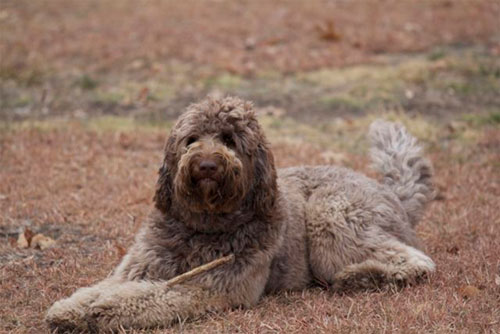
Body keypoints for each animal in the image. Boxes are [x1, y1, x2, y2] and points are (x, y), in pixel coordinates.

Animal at [47, 96, 438, 332]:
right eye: (191, 139)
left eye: (230, 140)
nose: (206, 165)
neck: (203, 226)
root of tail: (393, 194)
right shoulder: (139, 266)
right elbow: (101, 287)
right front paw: (71, 308)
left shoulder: (211, 287)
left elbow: (150, 296)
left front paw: (106, 309)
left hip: (331, 215)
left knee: (418, 261)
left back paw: (362, 277)